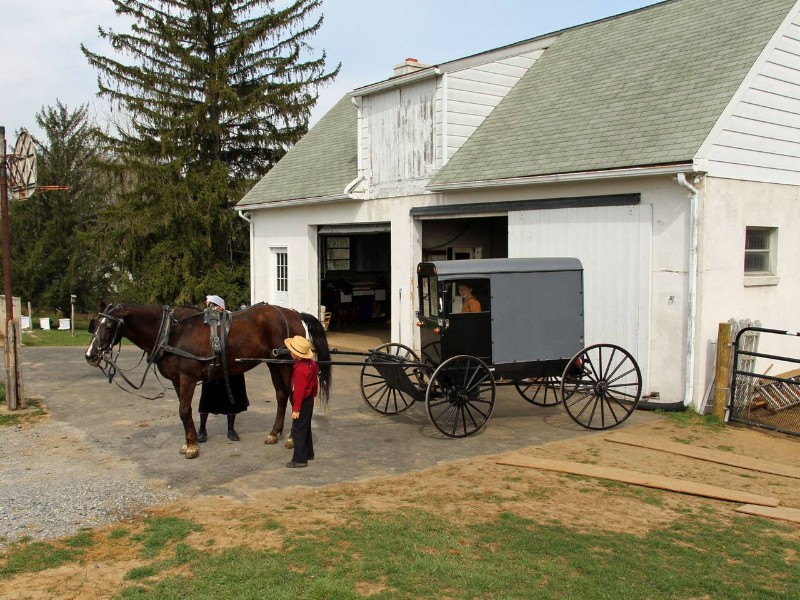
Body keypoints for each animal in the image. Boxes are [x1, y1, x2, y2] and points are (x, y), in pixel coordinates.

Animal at [83, 302, 330, 458]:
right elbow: (185, 411)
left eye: (109, 326)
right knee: (281, 395)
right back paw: (274, 433)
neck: (173, 333)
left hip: (287, 364)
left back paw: (291, 438)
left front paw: (191, 446)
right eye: (95, 324)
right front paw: (189, 442)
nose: (90, 355)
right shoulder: (177, 381)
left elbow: (184, 410)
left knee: (294, 397)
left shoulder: (188, 378)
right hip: (273, 363)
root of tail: (294, 313)